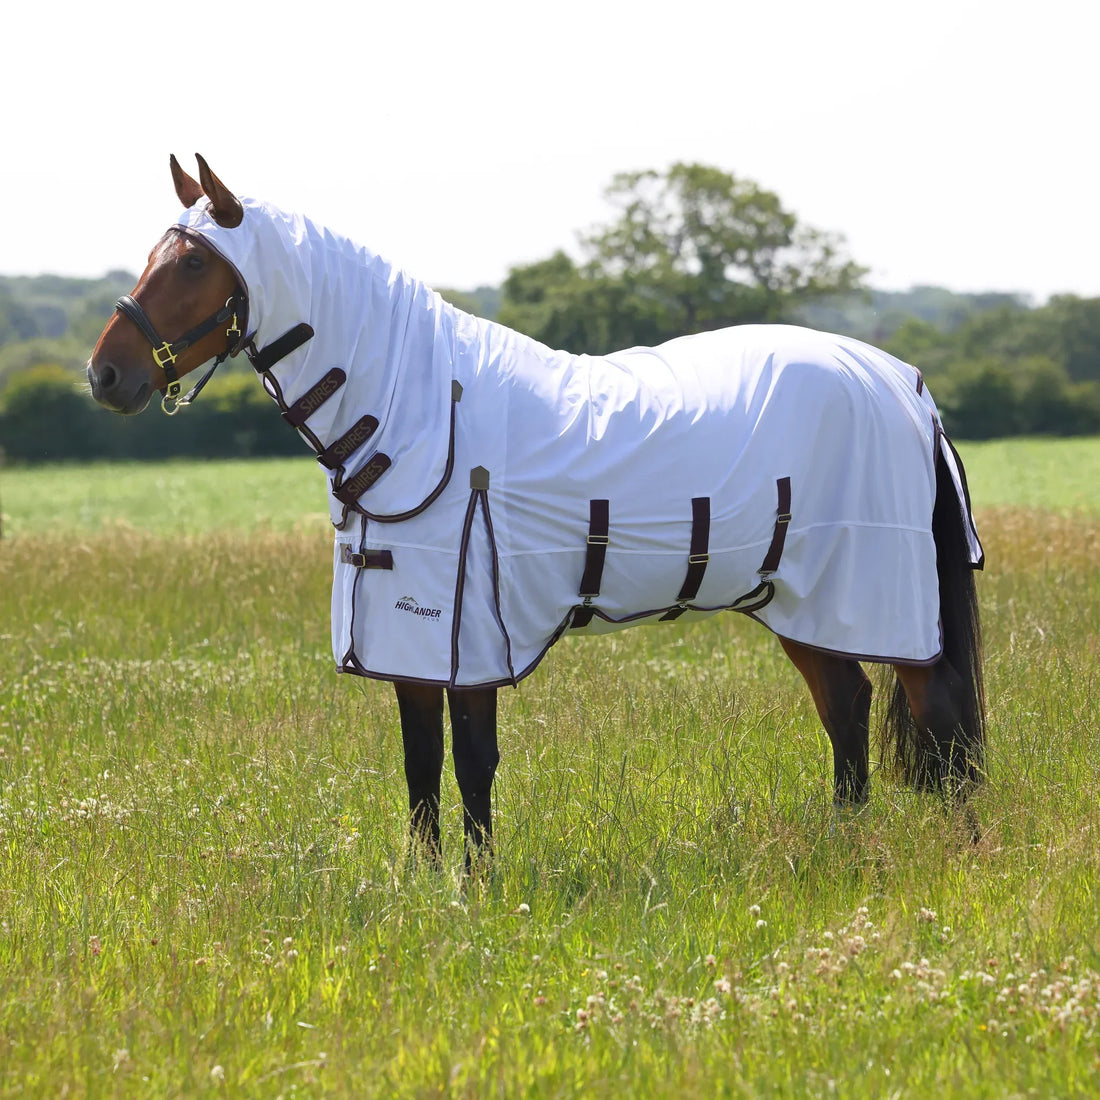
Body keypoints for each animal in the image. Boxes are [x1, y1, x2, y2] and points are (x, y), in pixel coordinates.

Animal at [87, 155, 986, 870]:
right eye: (155, 255)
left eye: (192, 265)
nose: (105, 376)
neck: (423, 415)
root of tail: (901, 380)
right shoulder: (409, 645)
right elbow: (421, 764)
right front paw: (426, 886)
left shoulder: (472, 637)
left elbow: (472, 763)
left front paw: (477, 888)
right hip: (801, 601)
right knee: (848, 709)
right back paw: (847, 841)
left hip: (882, 598)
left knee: (937, 718)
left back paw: (962, 851)